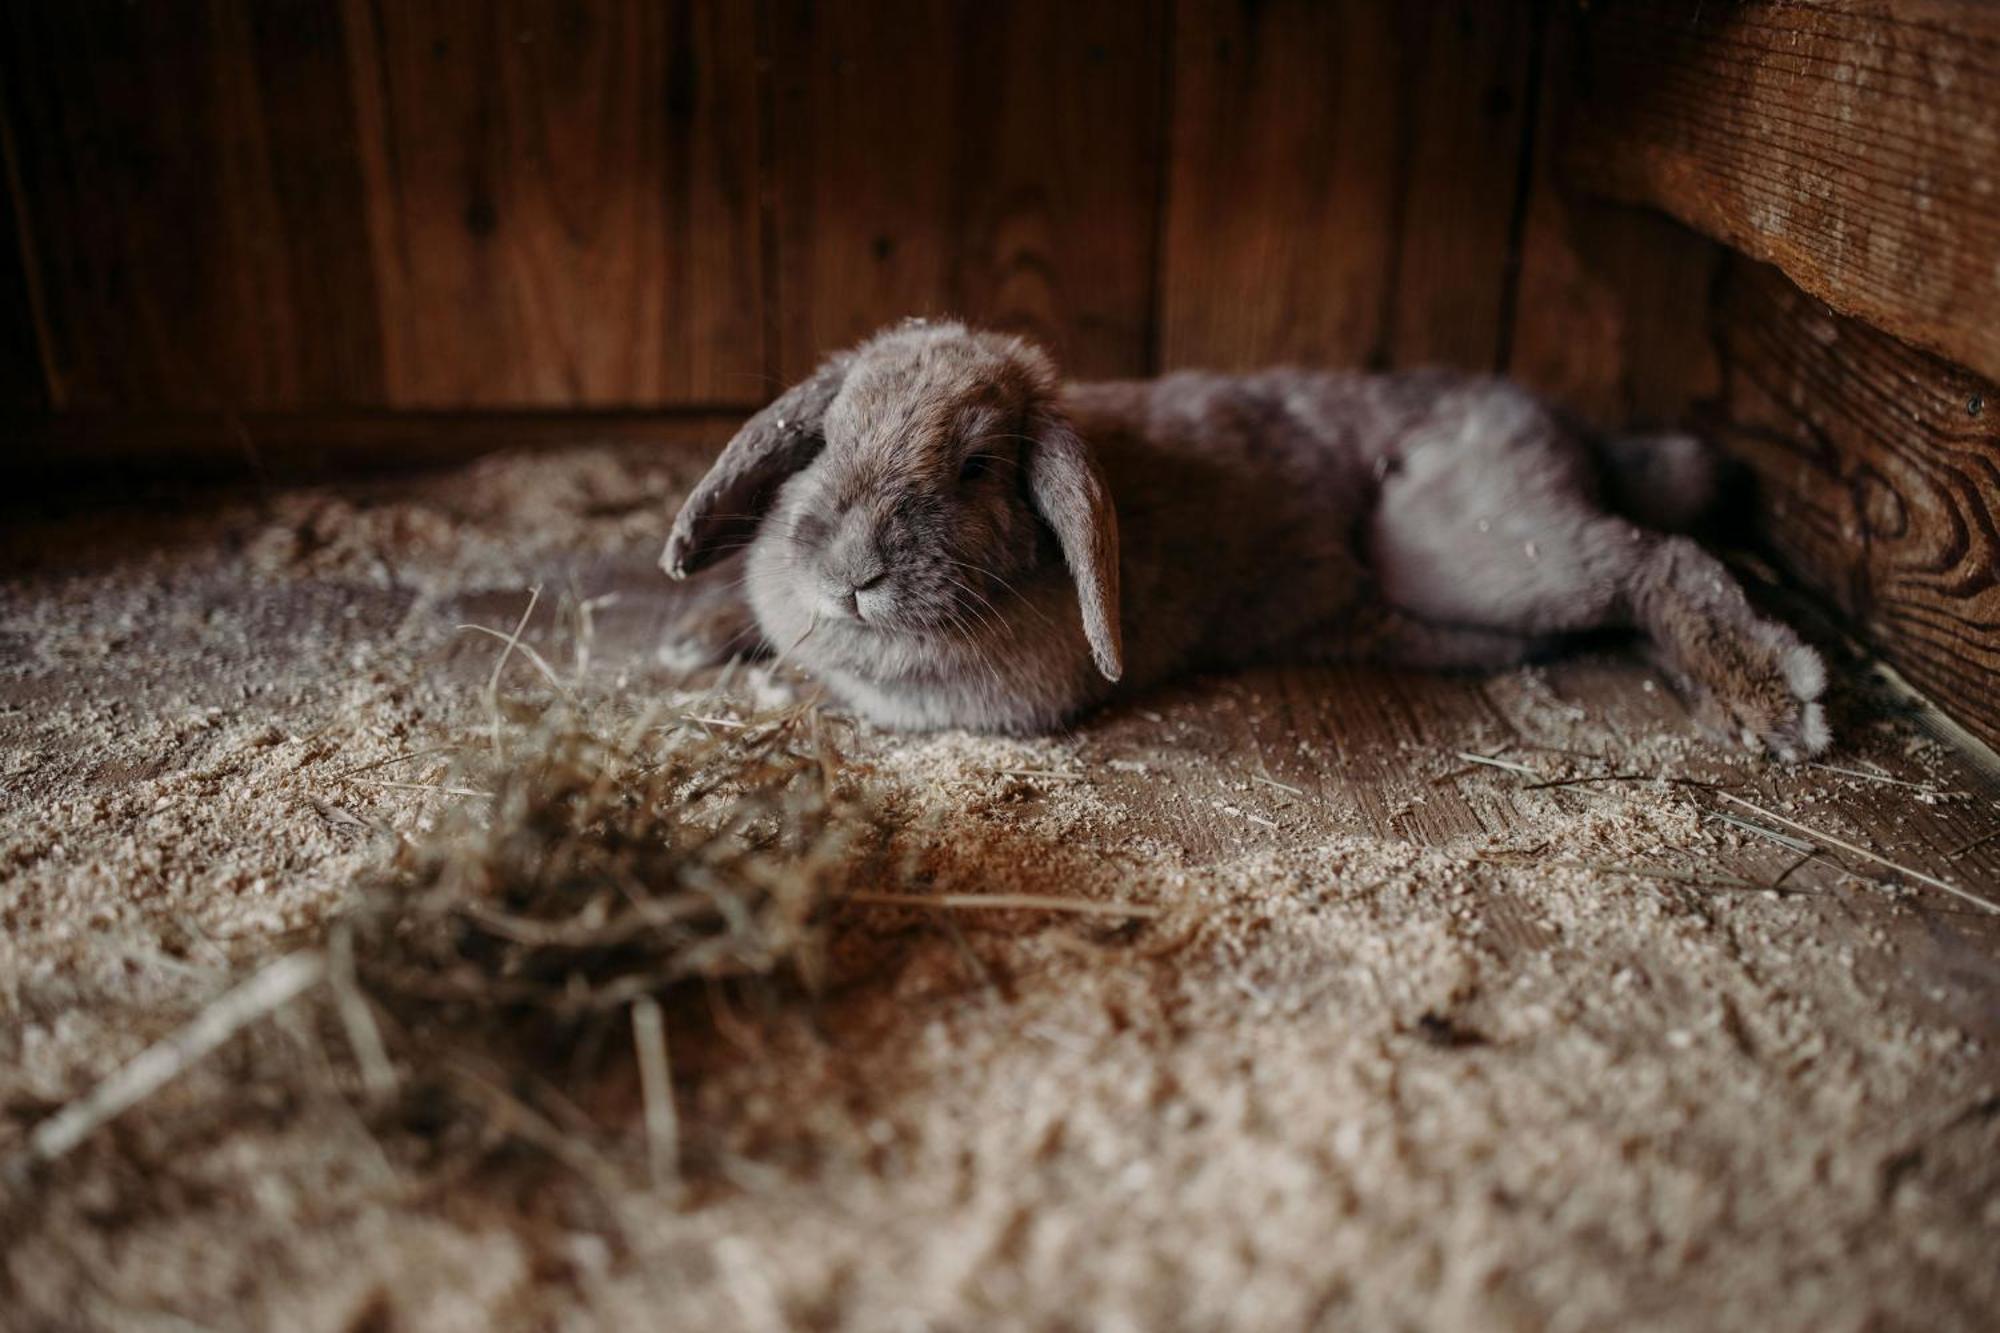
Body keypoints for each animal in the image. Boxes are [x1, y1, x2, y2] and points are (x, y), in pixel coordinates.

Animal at [664, 318, 1832, 756]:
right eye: (826, 438)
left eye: (976, 468)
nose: (850, 572)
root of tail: (1573, 431)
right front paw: (702, 628)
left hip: (1467, 545)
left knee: (1655, 559)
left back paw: (1774, 695)